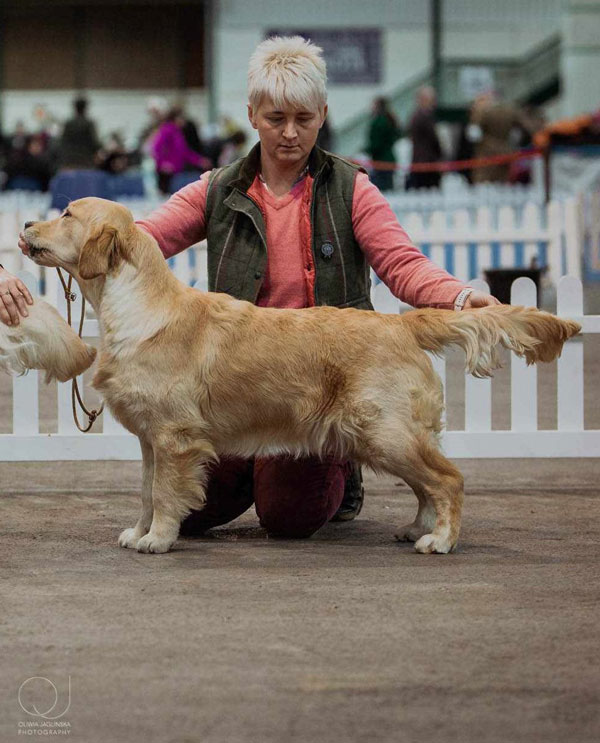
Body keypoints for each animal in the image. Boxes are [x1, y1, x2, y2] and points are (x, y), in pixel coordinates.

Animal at [23, 198, 580, 552]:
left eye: (67, 213)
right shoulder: (149, 438)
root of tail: (401, 322)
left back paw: (440, 540)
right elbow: (145, 490)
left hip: (385, 430)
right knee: (427, 486)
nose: (25, 224)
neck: (135, 305)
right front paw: (139, 533)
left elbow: (163, 493)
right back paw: (414, 529)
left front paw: (158, 540)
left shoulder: (174, 437)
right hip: (385, 434)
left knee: (448, 479)